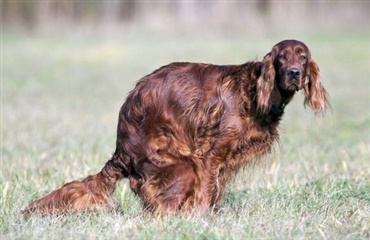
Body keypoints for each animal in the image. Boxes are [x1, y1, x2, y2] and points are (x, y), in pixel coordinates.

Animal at [22, 39, 330, 216]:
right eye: (282, 57)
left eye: (303, 57)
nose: (294, 73)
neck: (255, 92)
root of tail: (121, 153)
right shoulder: (209, 156)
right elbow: (206, 195)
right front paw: (202, 221)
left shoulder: (224, 164)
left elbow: (215, 193)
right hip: (182, 168)